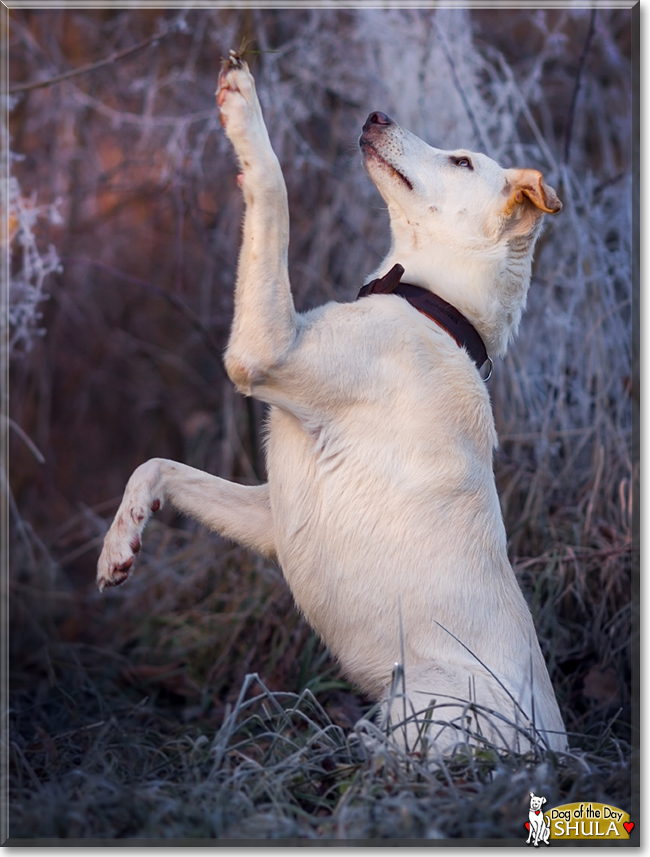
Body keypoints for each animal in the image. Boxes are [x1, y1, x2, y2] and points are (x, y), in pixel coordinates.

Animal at [97, 53, 568, 752]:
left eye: (461, 161)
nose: (375, 114)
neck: (433, 306)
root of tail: (554, 756)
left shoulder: (262, 351)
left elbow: (273, 192)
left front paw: (244, 109)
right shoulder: (273, 517)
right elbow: (157, 467)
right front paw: (120, 541)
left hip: (423, 716)